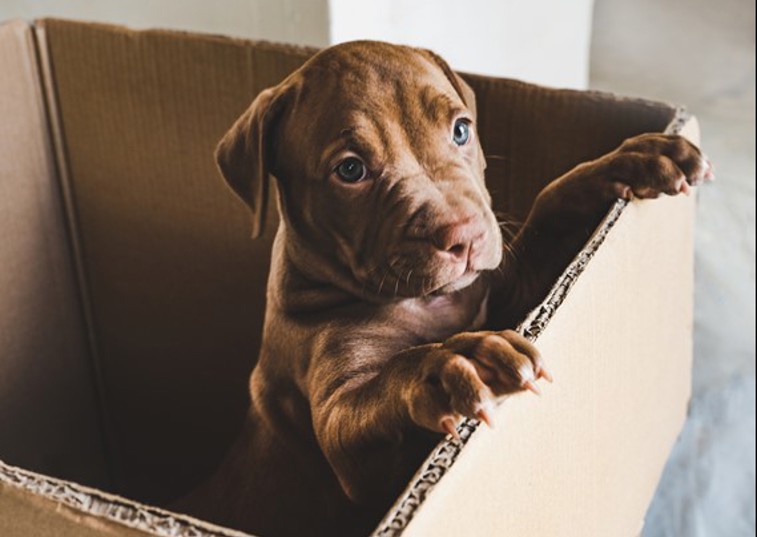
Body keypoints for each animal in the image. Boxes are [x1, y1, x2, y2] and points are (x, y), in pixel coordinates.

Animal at [180, 42, 712, 536]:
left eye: (461, 130)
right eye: (350, 170)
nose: (466, 235)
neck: (430, 303)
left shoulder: (508, 289)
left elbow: (550, 206)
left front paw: (629, 160)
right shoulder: (351, 452)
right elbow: (380, 389)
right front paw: (455, 359)